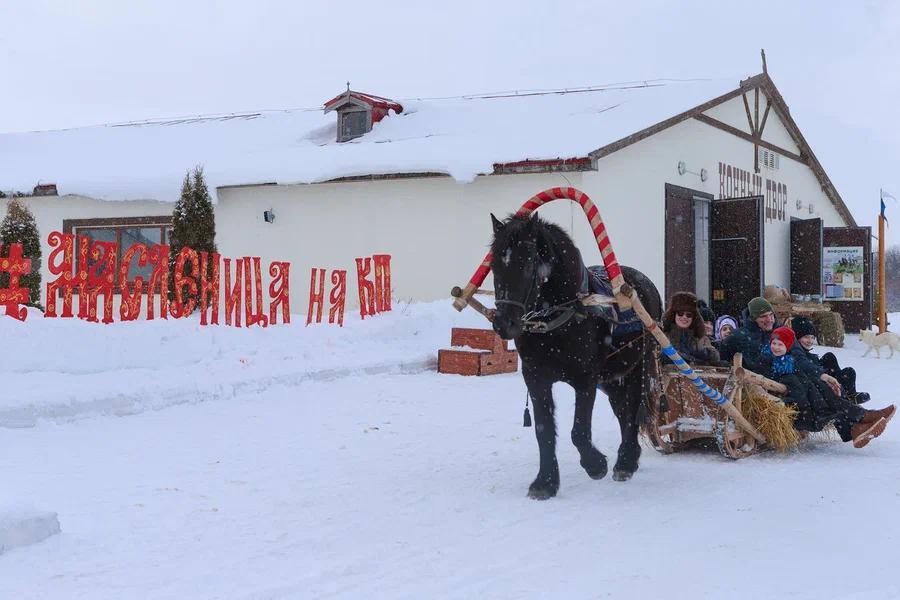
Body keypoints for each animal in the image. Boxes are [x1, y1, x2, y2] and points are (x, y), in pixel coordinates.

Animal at [492, 213, 660, 500]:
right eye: (494, 266)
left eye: (527, 264)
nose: (504, 324)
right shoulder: (535, 377)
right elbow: (544, 431)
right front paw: (545, 482)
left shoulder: (585, 378)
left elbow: (579, 432)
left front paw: (596, 465)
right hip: (612, 378)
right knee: (622, 410)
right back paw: (629, 458)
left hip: (637, 368)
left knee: (633, 410)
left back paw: (625, 461)